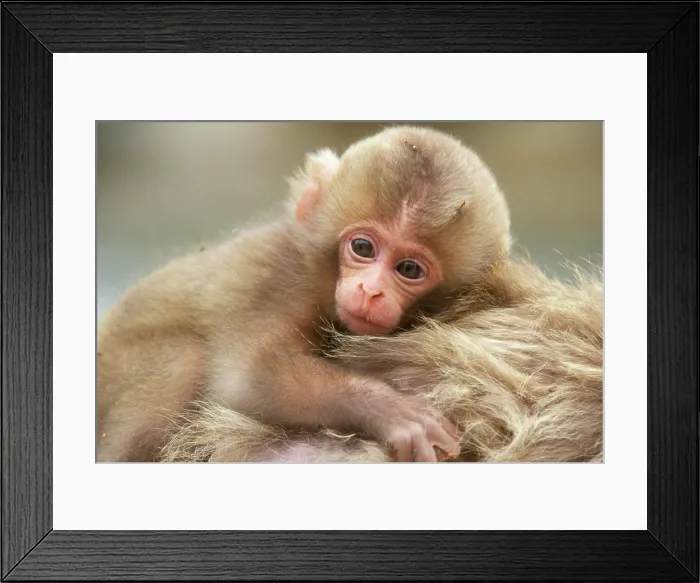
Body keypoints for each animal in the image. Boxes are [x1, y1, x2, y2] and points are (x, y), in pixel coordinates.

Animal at [97, 125, 515, 463]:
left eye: (409, 269)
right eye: (362, 247)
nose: (370, 291)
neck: (321, 274)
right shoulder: (276, 277)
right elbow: (247, 376)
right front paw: (392, 411)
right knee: (187, 359)